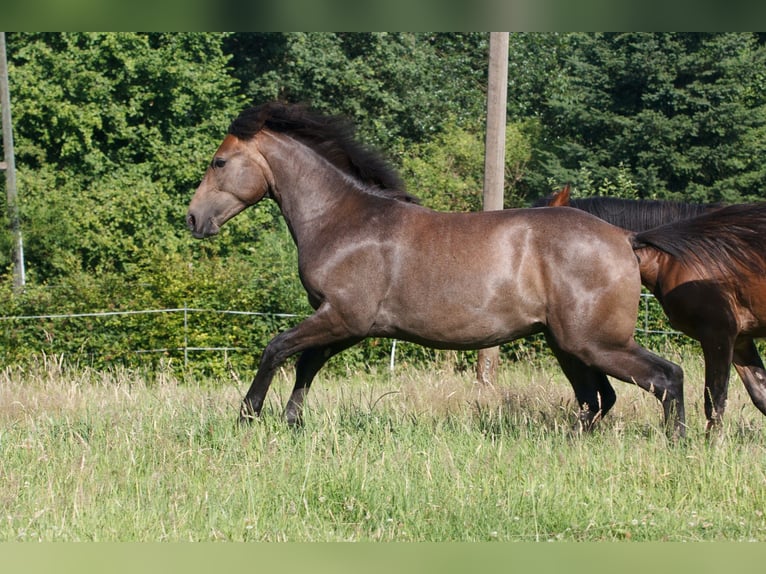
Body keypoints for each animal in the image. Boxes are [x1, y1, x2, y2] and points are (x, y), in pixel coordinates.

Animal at [186, 102, 685, 437]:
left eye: (219, 161)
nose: (192, 219)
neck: (343, 219)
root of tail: (625, 239)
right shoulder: (347, 324)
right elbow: (307, 363)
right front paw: (292, 423)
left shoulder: (343, 317)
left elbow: (276, 349)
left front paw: (247, 415)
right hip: (569, 345)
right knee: (598, 399)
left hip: (595, 342)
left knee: (665, 378)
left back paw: (678, 442)